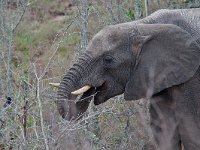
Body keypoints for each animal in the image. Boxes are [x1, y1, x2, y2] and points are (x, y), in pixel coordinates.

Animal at [56, 8, 200, 149]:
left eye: (108, 59)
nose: (92, 88)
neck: (143, 26)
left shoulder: (192, 76)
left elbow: (190, 131)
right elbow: (164, 131)